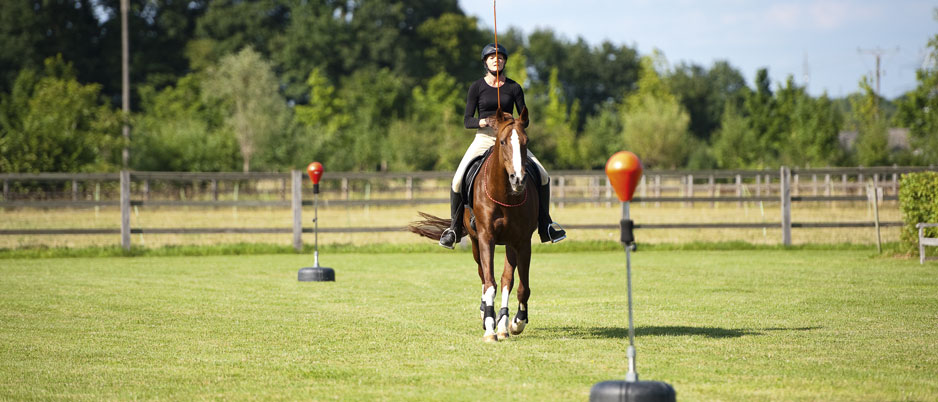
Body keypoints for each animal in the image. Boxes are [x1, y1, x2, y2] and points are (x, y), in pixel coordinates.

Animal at [408, 107, 532, 342]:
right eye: (503, 142)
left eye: (525, 142)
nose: (518, 180)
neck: (505, 195)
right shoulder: (485, 238)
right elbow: (489, 283)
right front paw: (490, 328)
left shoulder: (522, 241)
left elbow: (520, 286)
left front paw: (516, 322)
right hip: (475, 243)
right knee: (484, 277)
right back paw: (487, 316)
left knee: (506, 280)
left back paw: (503, 324)